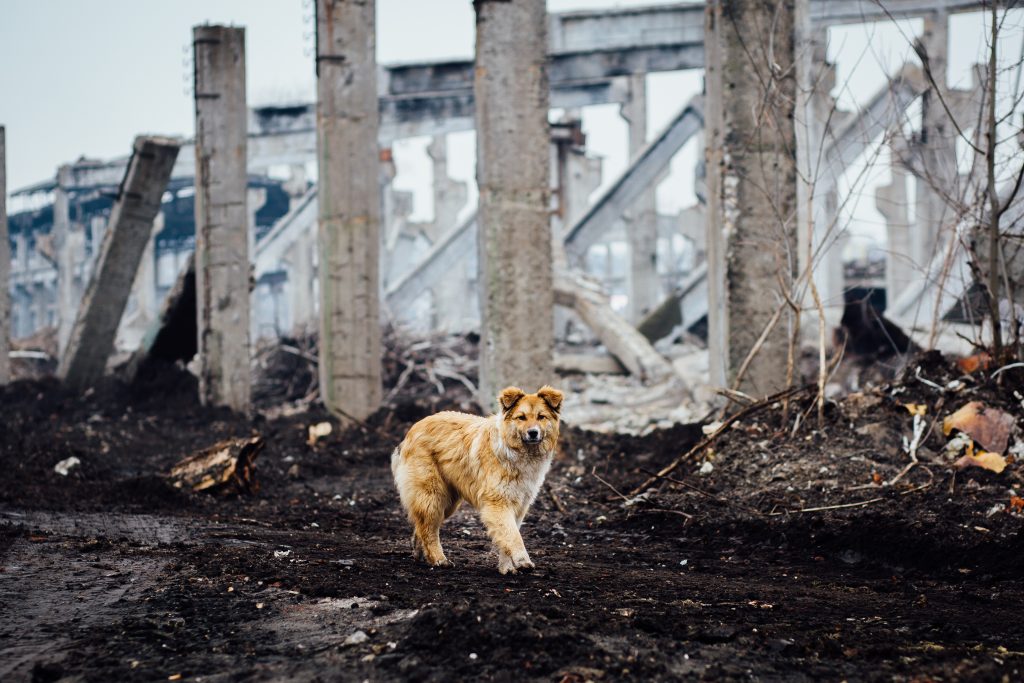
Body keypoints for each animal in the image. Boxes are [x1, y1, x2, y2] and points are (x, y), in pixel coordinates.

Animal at [389, 387, 565, 573]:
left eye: (541, 417)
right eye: (521, 417)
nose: (533, 433)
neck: (515, 453)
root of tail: (413, 428)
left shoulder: (518, 506)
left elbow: (507, 537)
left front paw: (507, 568)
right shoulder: (498, 503)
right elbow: (513, 536)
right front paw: (522, 560)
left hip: (448, 502)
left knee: (421, 526)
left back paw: (421, 554)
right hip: (433, 496)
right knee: (429, 529)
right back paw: (439, 559)